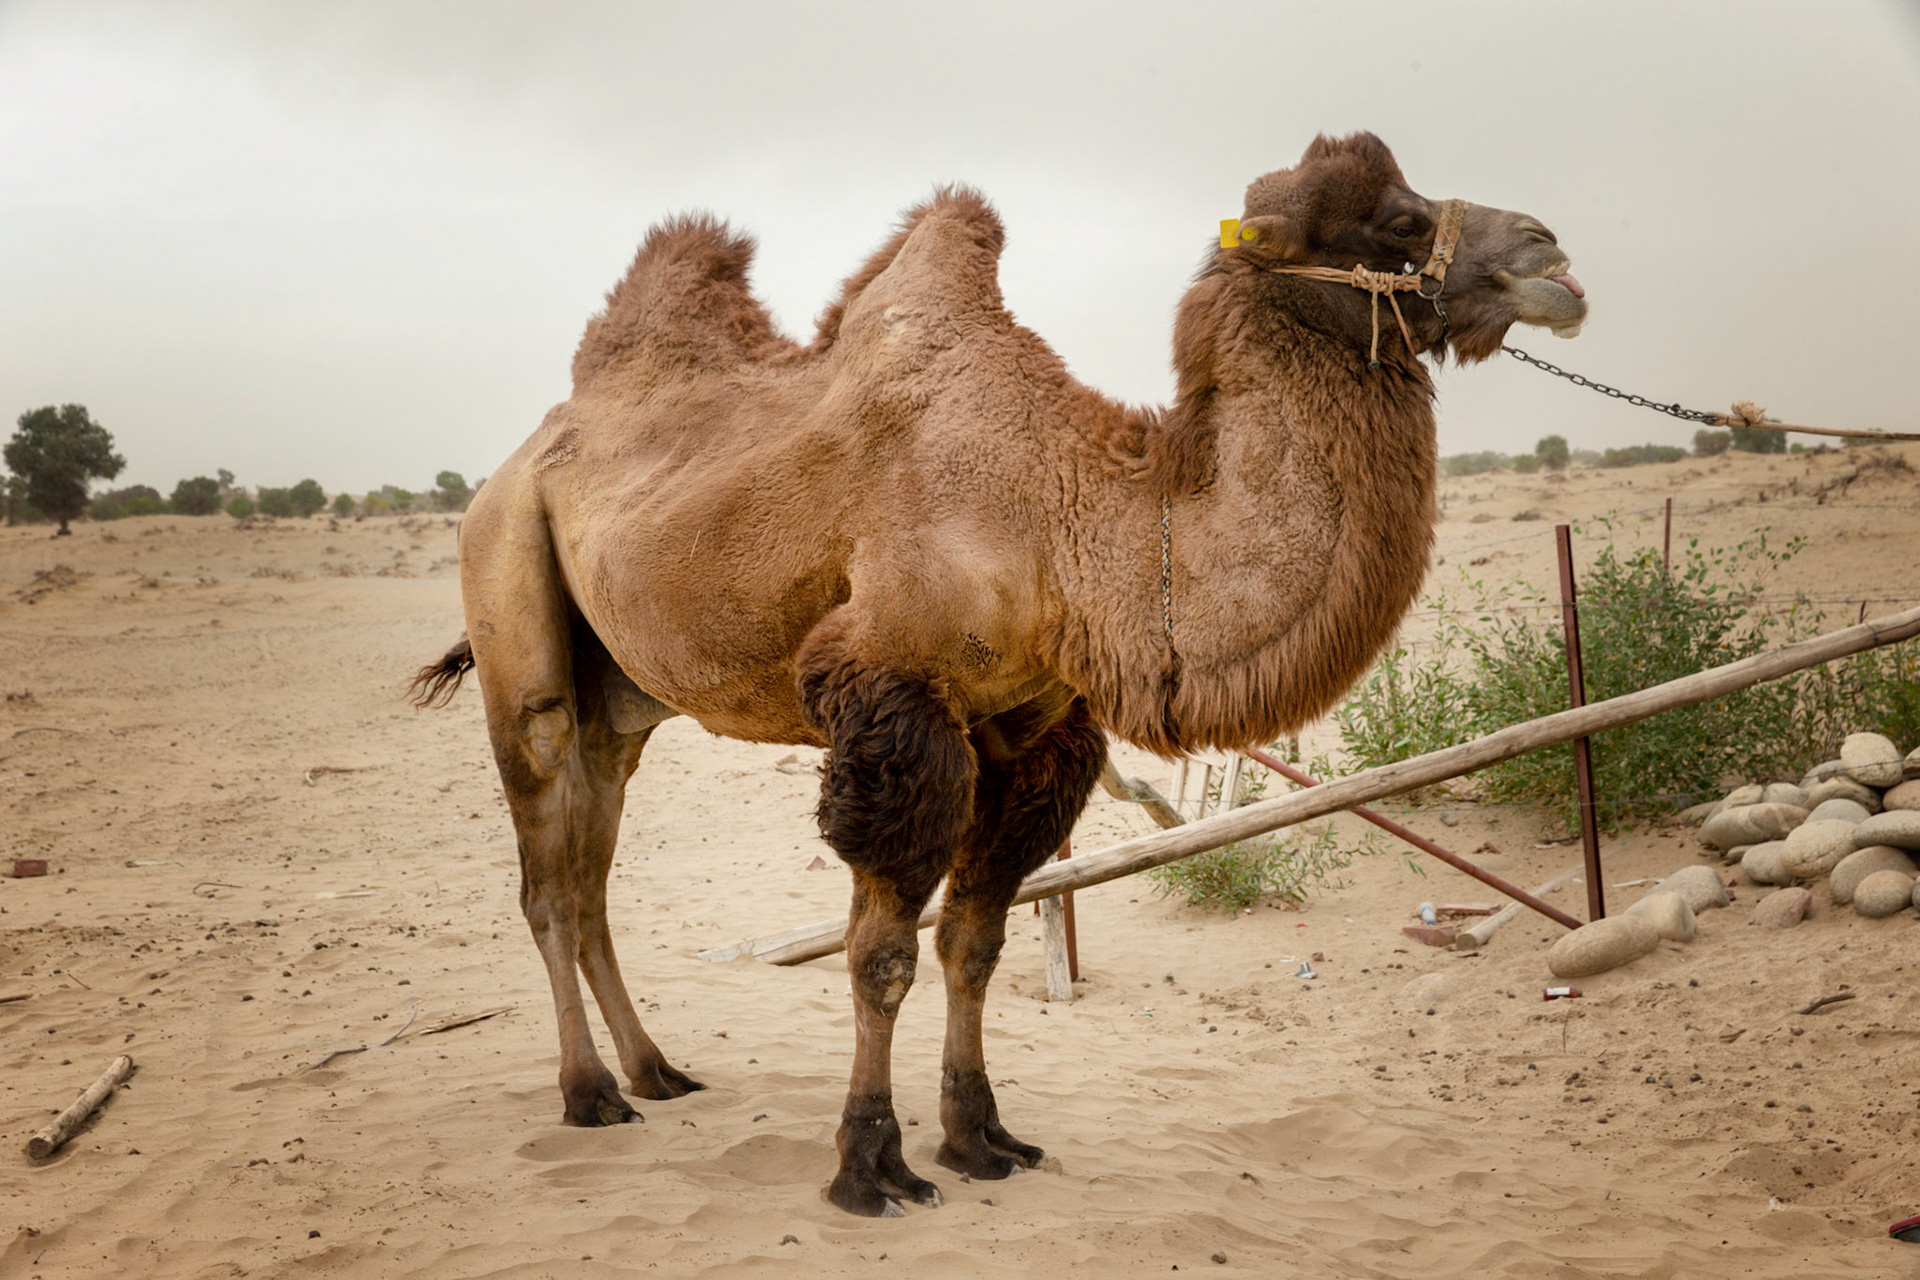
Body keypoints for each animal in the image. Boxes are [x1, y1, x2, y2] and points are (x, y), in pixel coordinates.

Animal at [411, 132, 1587, 1217]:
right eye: (1396, 219)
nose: (1553, 252)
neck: (1073, 520)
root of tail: (520, 458)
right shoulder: (888, 696)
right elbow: (880, 954)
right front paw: (870, 1164)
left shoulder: (1032, 725)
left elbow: (973, 944)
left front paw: (980, 1137)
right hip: (511, 594)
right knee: (546, 874)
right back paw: (588, 1091)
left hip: (625, 703)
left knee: (593, 871)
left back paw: (655, 1070)